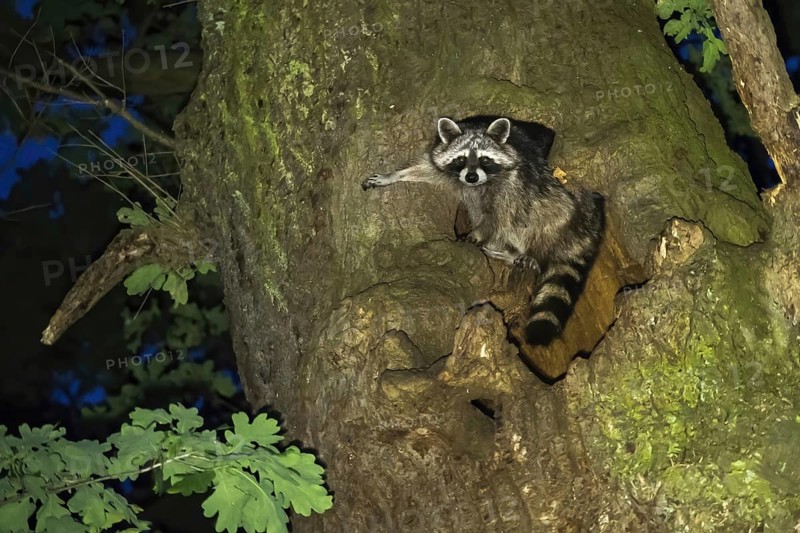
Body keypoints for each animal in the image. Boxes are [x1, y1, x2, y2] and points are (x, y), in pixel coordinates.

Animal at [361, 115, 604, 346]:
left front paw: (476, 235)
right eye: (460, 159)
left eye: (485, 159)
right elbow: (426, 169)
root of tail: (590, 229)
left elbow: (498, 217)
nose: (471, 177)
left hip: (566, 211)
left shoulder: (512, 183)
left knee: (538, 213)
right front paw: (393, 175)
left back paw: (529, 253)